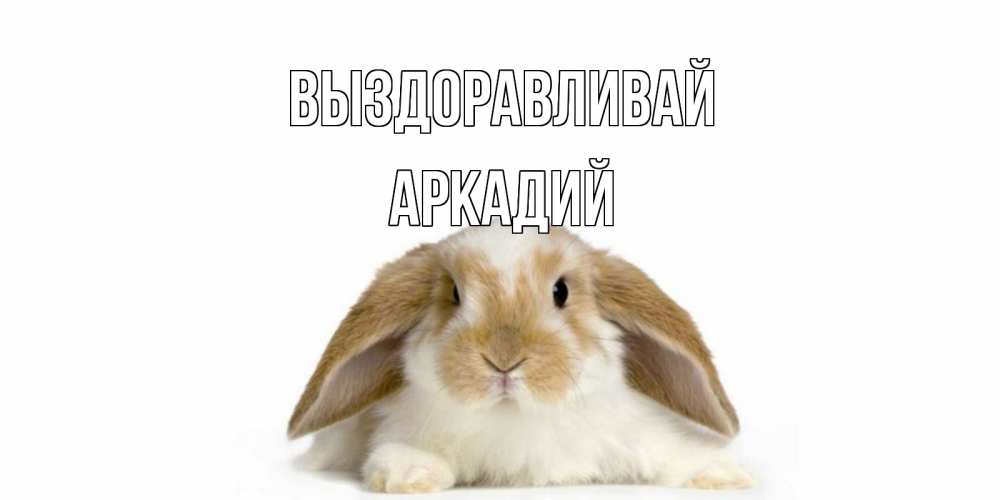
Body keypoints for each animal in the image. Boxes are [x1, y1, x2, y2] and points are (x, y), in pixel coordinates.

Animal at [288, 226, 752, 493]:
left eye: (561, 291)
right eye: (454, 294)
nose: (504, 360)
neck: (514, 416)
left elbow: (671, 452)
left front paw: (724, 475)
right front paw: (409, 475)